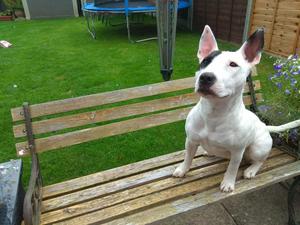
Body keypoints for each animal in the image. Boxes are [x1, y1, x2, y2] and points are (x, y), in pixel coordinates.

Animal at [172, 25, 298, 192]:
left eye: (233, 64)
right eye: (205, 61)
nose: (206, 77)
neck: (214, 113)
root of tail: (265, 125)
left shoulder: (237, 151)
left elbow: (232, 167)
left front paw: (228, 183)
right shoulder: (191, 140)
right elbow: (188, 157)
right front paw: (182, 170)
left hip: (257, 148)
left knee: (260, 160)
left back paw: (251, 170)